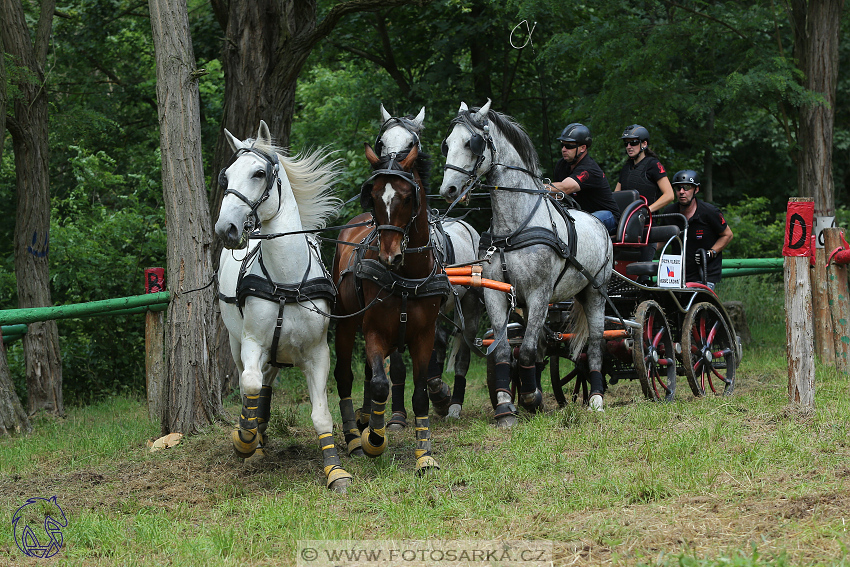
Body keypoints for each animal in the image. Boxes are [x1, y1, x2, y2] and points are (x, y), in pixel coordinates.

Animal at [214, 121, 350, 492]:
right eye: (225, 177)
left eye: (259, 173)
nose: (226, 228)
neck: (286, 283)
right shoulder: (252, 344)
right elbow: (248, 387)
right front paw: (244, 439)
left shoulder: (318, 353)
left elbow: (321, 415)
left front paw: (335, 471)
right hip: (236, 344)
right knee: (254, 384)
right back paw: (254, 443)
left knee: (266, 385)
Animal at [332, 143, 450, 474]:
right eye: (372, 196)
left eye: (408, 197)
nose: (390, 256)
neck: (407, 276)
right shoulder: (374, 332)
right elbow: (382, 385)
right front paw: (375, 439)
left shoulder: (424, 337)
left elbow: (420, 395)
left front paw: (424, 455)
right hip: (346, 324)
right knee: (345, 376)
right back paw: (354, 435)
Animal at [438, 100, 608, 426]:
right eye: (447, 144)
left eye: (471, 143)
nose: (448, 190)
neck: (515, 228)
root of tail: (598, 222)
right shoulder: (496, 293)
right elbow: (505, 350)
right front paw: (506, 405)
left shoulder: (540, 292)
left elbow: (526, 351)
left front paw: (532, 399)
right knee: (540, 343)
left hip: (594, 292)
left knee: (594, 343)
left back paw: (595, 397)